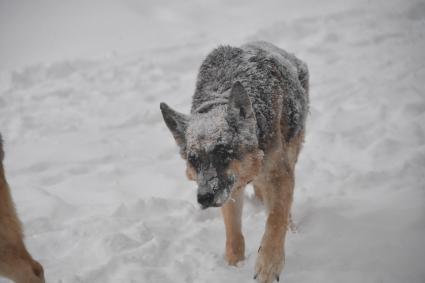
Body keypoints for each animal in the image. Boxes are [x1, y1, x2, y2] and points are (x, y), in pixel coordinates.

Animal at [159, 41, 308, 282]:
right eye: (193, 160)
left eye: (223, 153)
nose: (204, 198)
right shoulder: (231, 188)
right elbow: (233, 231)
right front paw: (234, 265)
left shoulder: (278, 174)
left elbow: (276, 218)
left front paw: (269, 265)